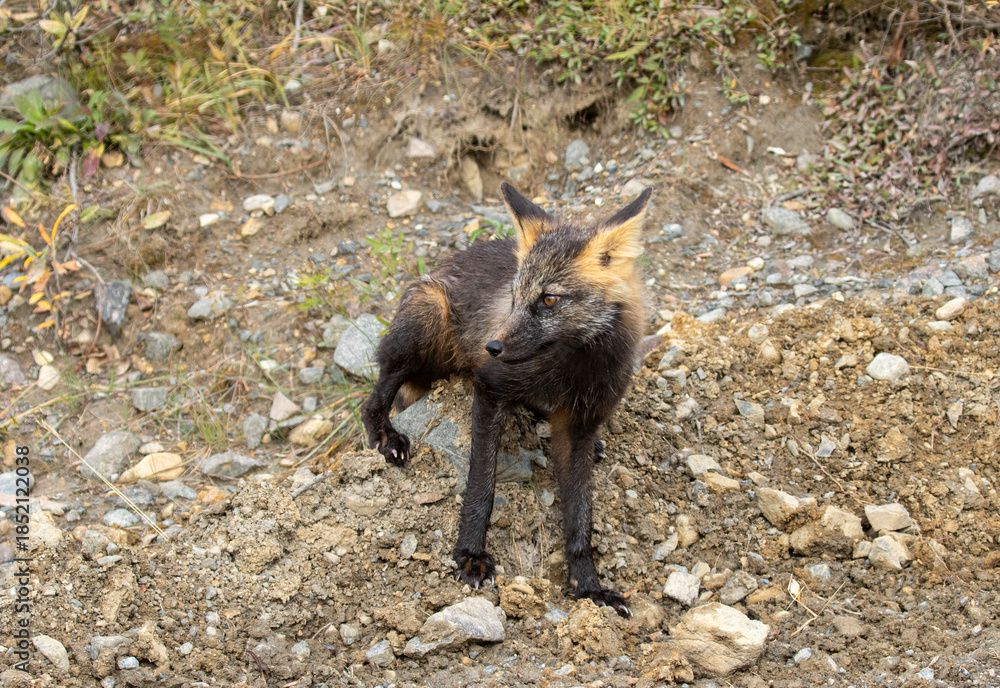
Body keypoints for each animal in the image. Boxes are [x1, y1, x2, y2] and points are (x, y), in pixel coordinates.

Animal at [361, 182, 651, 617]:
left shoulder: (581, 424)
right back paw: (384, 432)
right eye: (514, 297)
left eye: (549, 299)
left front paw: (589, 587)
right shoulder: (491, 386)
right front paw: (469, 554)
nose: (492, 346)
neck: (574, 371)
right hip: (425, 321)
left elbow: (580, 520)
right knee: (375, 393)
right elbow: (482, 484)